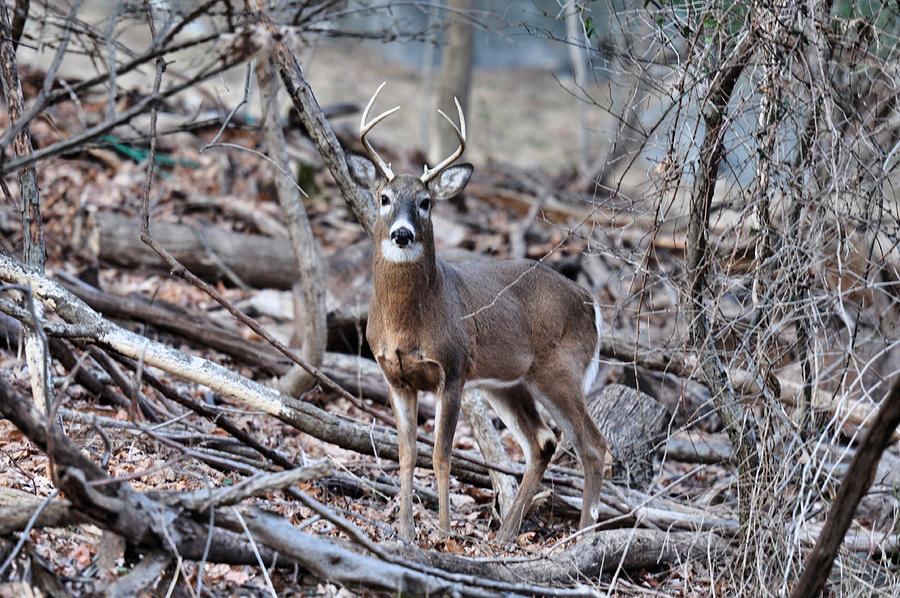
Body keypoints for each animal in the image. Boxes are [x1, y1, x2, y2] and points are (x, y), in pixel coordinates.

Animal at [346, 82, 612, 548]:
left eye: (426, 202)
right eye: (383, 198)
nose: (402, 233)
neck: (406, 323)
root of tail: (590, 303)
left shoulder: (452, 369)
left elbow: (441, 454)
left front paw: (444, 532)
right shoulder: (394, 375)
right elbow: (406, 452)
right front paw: (405, 531)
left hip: (561, 369)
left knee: (592, 446)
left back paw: (580, 538)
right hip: (507, 383)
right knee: (542, 441)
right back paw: (505, 535)